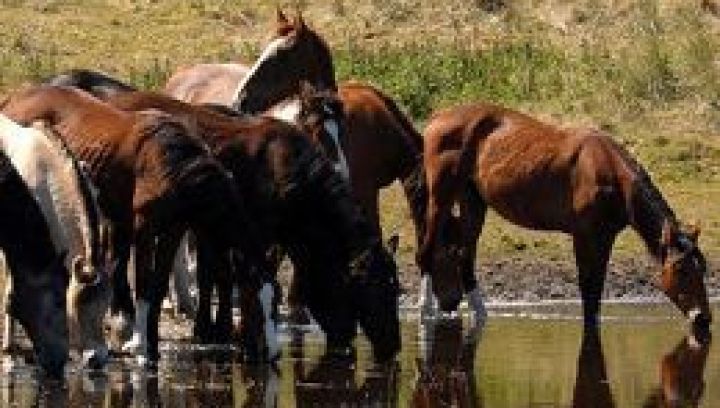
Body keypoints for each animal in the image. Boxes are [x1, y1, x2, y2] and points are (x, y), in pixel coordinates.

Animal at [102, 91, 402, 362]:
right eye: (375, 291)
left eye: (395, 289)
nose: (393, 347)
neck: (280, 172)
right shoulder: (250, 235)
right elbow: (244, 281)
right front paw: (247, 341)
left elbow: (233, 278)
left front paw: (224, 332)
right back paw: (124, 323)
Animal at [420, 102, 712, 332]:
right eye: (681, 269)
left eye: (703, 268)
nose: (704, 319)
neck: (611, 175)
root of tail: (437, 117)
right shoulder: (583, 237)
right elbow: (587, 289)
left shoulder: (605, 238)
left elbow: (596, 290)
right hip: (441, 198)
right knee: (427, 251)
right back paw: (426, 311)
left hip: (473, 200)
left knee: (465, 256)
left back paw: (480, 314)